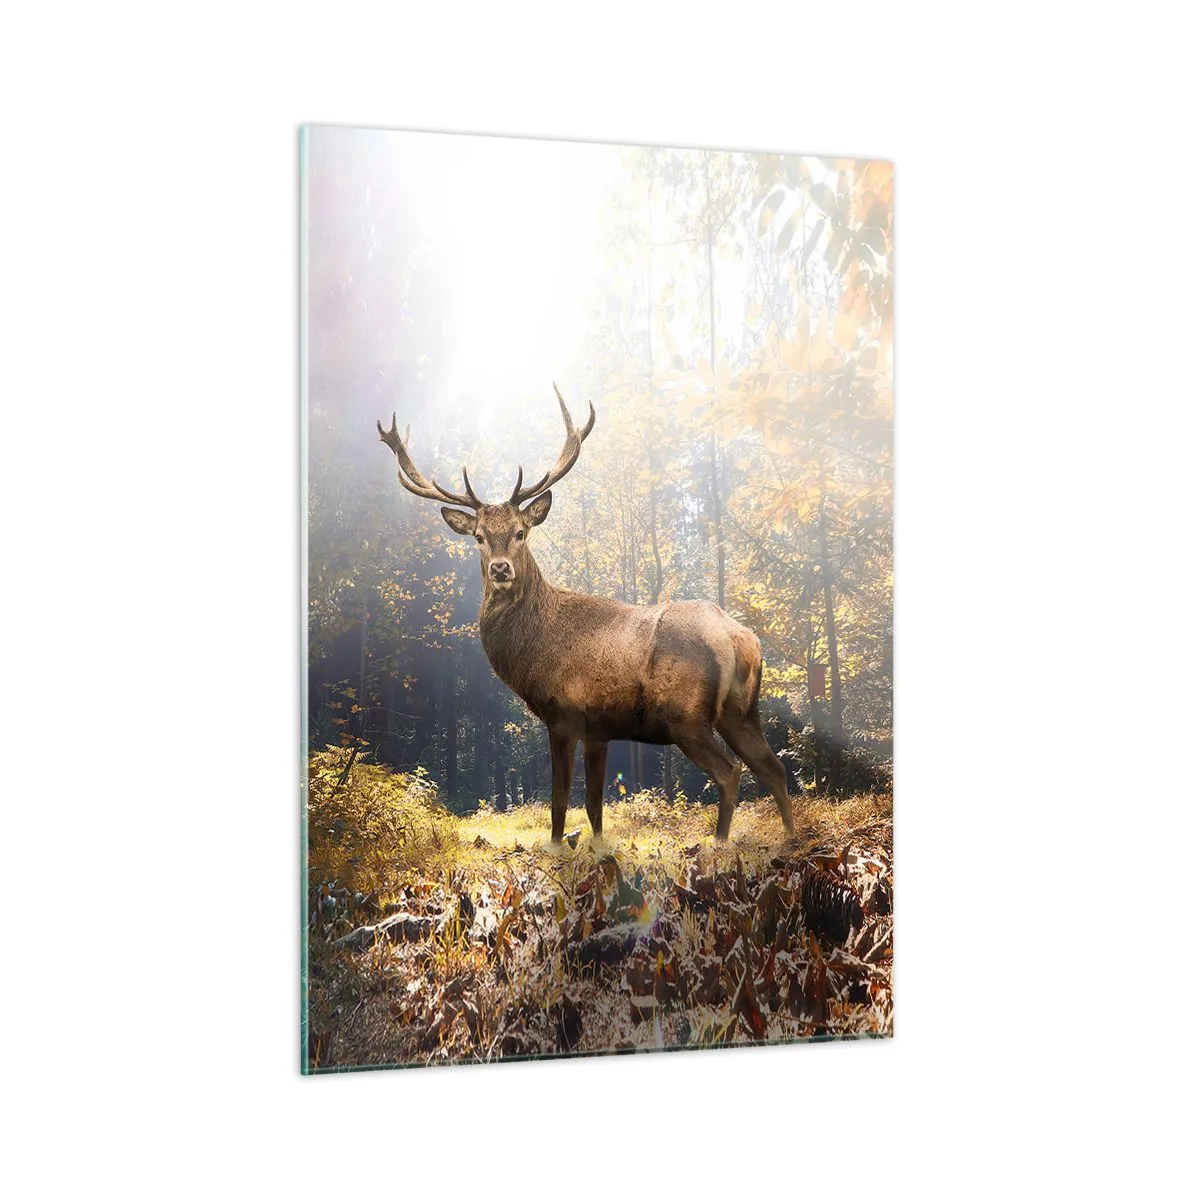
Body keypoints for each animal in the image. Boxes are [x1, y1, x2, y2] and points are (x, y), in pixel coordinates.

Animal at [377, 386, 796, 845]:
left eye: (521, 532)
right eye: (479, 536)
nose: (501, 569)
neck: (534, 651)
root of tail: (741, 638)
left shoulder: (564, 714)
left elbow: (560, 802)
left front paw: (558, 848)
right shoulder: (600, 728)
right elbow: (595, 805)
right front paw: (598, 849)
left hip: (687, 714)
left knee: (731, 772)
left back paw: (719, 845)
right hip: (741, 710)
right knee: (775, 768)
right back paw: (792, 837)